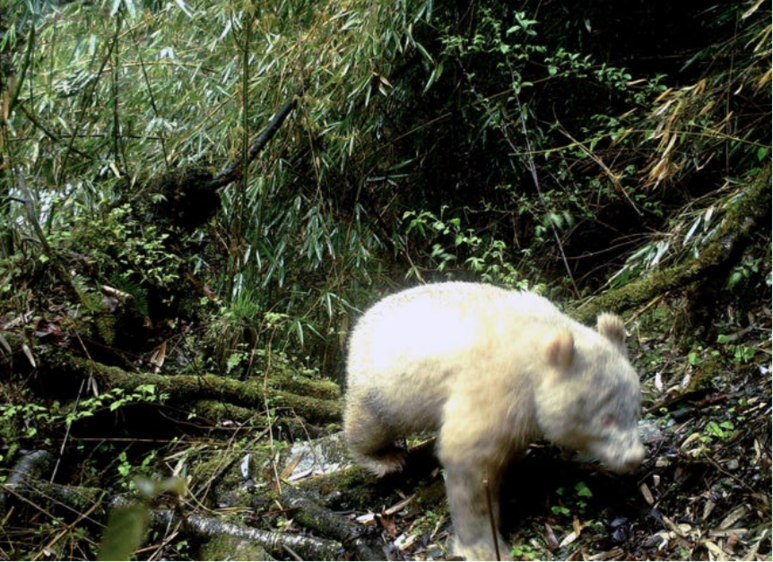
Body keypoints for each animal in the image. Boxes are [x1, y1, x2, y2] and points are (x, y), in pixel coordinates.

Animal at [343, 282, 645, 561]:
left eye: (635, 409)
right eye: (606, 418)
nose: (635, 457)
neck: (537, 347)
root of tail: (360, 323)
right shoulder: (495, 386)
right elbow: (468, 460)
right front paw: (482, 546)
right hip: (382, 386)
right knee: (369, 425)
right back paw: (383, 458)